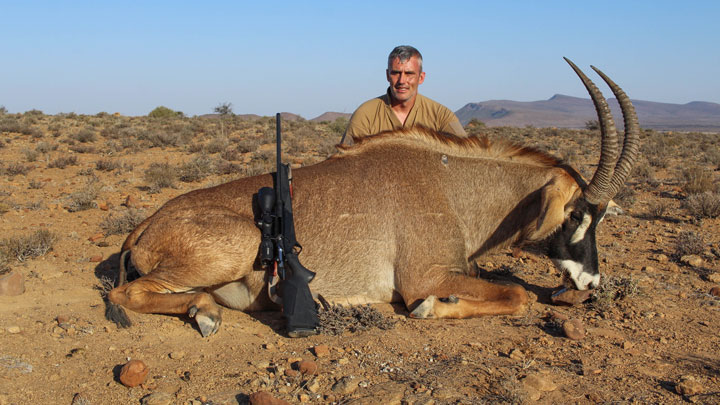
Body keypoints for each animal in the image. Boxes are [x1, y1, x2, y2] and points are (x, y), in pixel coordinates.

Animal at [107, 58, 640, 336]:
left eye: (601, 218)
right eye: (574, 215)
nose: (591, 282)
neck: (452, 186)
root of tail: (145, 225)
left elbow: (510, 288)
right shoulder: (425, 276)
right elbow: (517, 296)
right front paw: (432, 309)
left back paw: (204, 308)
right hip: (234, 248)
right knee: (124, 293)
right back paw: (206, 312)